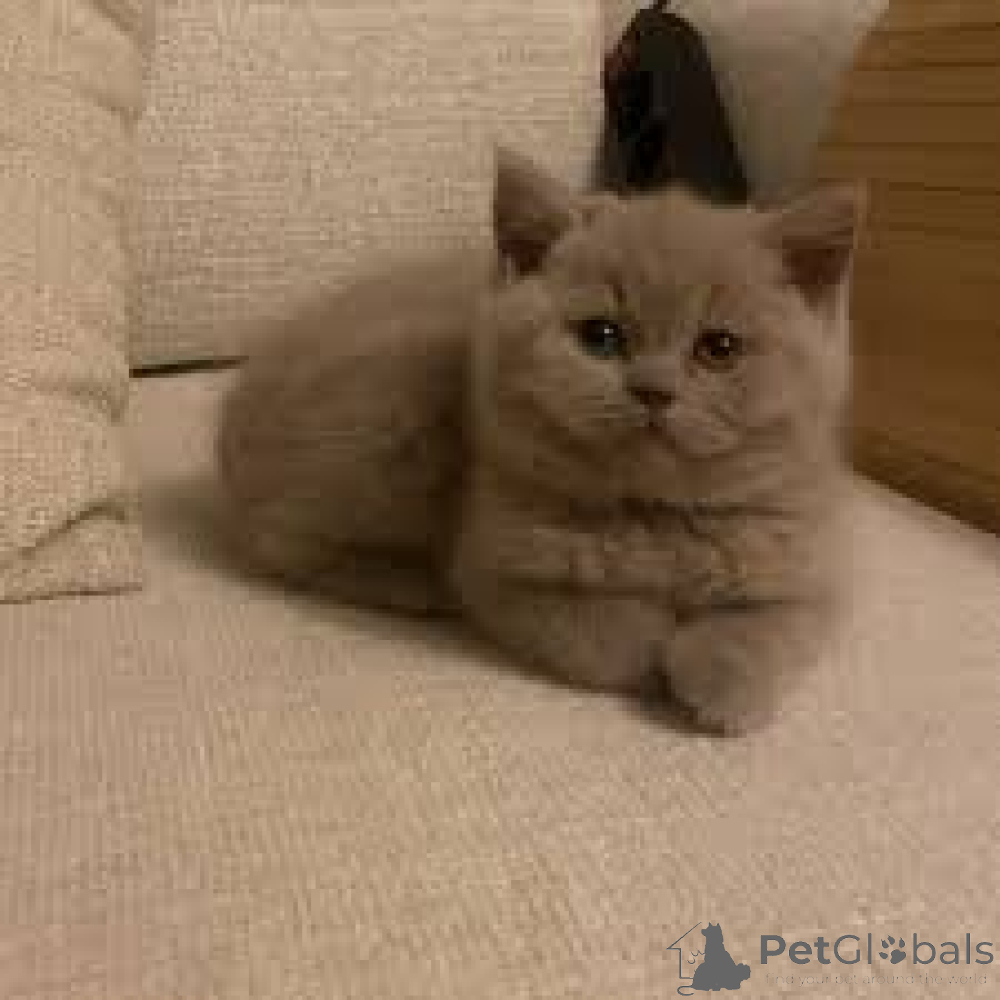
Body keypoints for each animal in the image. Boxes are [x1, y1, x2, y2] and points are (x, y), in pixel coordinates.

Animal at [217, 148, 863, 734]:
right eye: (600, 335)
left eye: (719, 348)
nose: (653, 390)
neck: (653, 517)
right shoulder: (493, 574)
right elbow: (607, 634)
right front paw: (655, 649)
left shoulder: (808, 565)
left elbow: (769, 628)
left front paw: (723, 682)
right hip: (392, 418)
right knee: (280, 542)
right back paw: (408, 583)